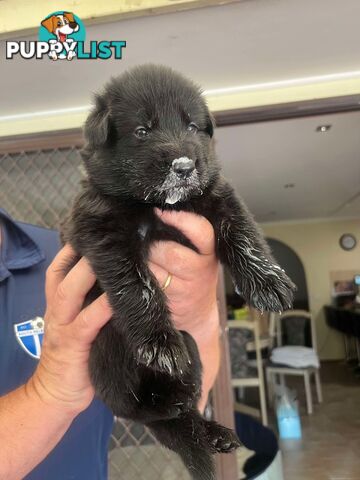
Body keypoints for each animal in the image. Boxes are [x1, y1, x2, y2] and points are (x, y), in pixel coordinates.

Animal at [63, 64, 296, 480]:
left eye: (191, 126)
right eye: (142, 131)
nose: (184, 167)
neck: (157, 205)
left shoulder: (218, 196)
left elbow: (243, 232)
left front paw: (268, 282)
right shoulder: (104, 231)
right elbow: (138, 286)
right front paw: (159, 343)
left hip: (193, 350)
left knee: (183, 415)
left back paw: (211, 429)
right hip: (106, 348)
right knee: (136, 407)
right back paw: (163, 401)